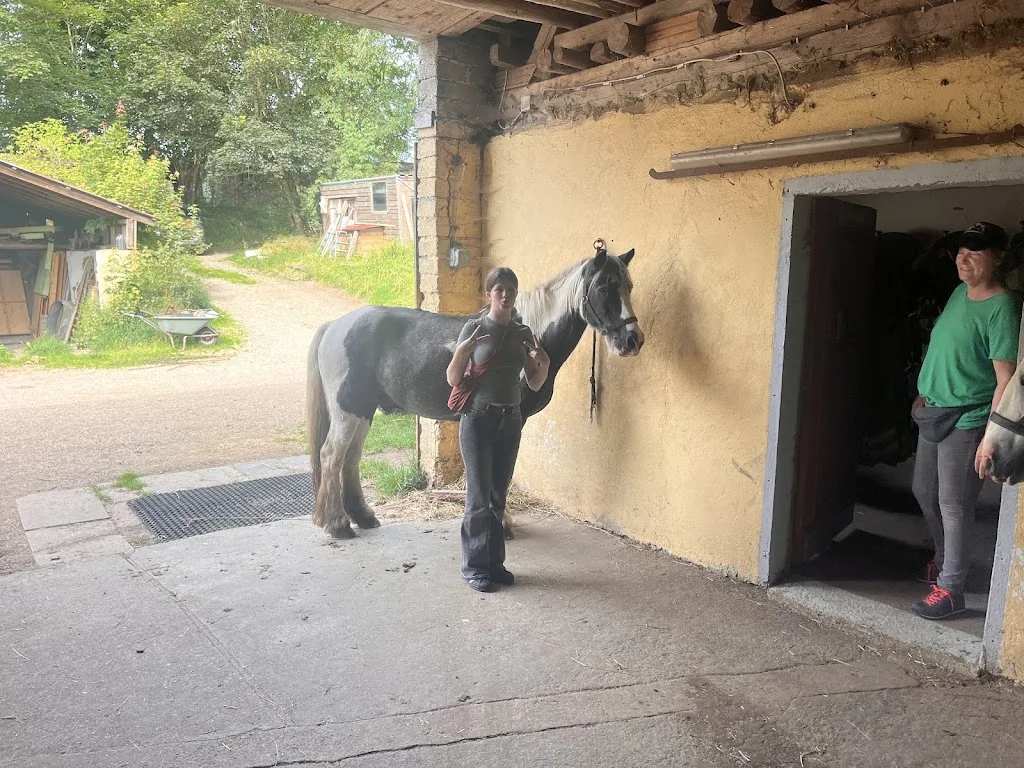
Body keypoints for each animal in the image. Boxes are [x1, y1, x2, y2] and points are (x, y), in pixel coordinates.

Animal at [306, 246, 645, 539]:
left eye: (628, 286)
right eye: (604, 287)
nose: (633, 340)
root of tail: (335, 326)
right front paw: (502, 525)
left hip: (363, 411)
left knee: (350, 458)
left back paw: (363, 517)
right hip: (348, 411)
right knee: (331, 456)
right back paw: (339, 525)